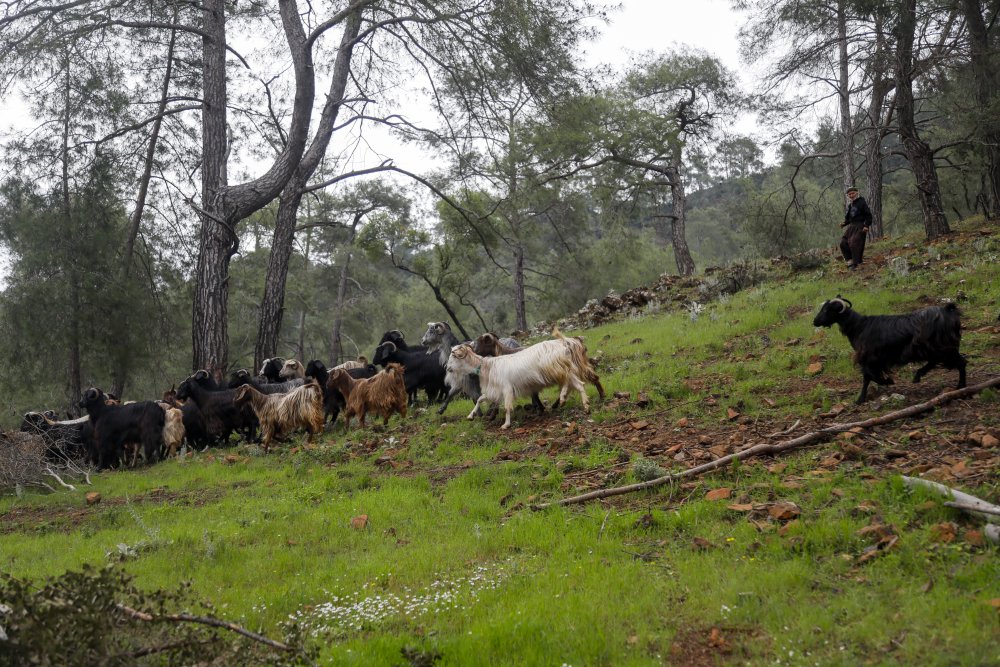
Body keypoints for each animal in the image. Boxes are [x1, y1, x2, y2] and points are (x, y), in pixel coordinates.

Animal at [448, 330, 600, 434]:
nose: (448, 368)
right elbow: (480, 399)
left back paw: (565, 399)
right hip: (565, 371)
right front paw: (471, 416)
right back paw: (584, 406)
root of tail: (565, 344)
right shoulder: (496, 391)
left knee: (569, 384)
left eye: (454, 357)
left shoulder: (507, 389)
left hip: (559, 370)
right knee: (579, 385)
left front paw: (506, 425)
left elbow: (507, 407)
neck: (488, 366)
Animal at [812, 296, 968, 402]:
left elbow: (868, 376)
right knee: (948, 362)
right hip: (942, 348)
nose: (815, 322)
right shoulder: (874, 360)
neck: (859, 326)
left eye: (827, 309)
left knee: (957, 362)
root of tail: (948, 310)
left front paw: (866, 395)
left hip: (940, 347)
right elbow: (869, 376)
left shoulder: (870, 358)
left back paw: (958, 385)